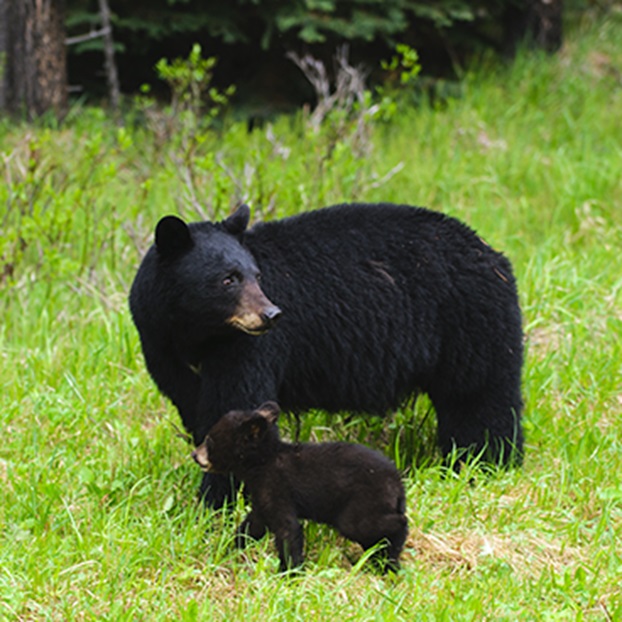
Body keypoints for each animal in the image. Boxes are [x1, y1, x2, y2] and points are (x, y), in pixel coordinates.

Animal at [132, 205, 528, 508]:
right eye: (228, 279)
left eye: (257, 275)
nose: (272, 314)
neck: (195, 333)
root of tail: (492, 253)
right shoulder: (161, 348)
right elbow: (196, 409)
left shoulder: (247, 348)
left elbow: (236, 403)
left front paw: (220, 498)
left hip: (469, 321)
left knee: (478, 398)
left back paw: (486, 461)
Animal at [195, 404, 410, 576]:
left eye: (210, 440)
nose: (194, 455)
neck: (262, 463)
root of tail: (398, 483)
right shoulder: (262, 496)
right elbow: (253, 525)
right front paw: (228, 548)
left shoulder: (277, 487)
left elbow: (287, 528)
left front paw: (290, 574)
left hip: (363, 504)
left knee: (383, 524)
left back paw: (391, 557)